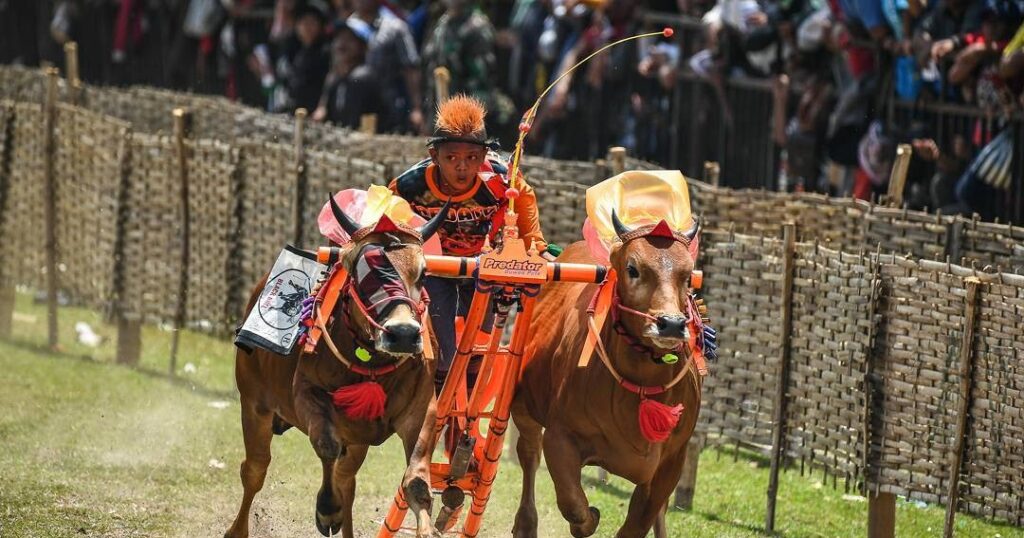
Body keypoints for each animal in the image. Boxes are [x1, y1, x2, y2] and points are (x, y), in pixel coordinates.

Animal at [222, 197, 446, 536]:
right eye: (361, 271)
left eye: (421, 273)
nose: (404, 334)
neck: (371, 363)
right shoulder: (306, 395)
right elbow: (326, 446)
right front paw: (326, 509)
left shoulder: (422, 410)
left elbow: (417, 482)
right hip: (254, 404)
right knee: (255, 469)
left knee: (346, 480)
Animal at [512, 215, 704, 536]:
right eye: (632, 268)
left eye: (688, 276)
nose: (671, 324)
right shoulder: (559, 437)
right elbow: (574, 506)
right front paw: (589, 518)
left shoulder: (669, 464)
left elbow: (638, 523)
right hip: (523, 409)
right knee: (529, 455)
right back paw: (525, 524)